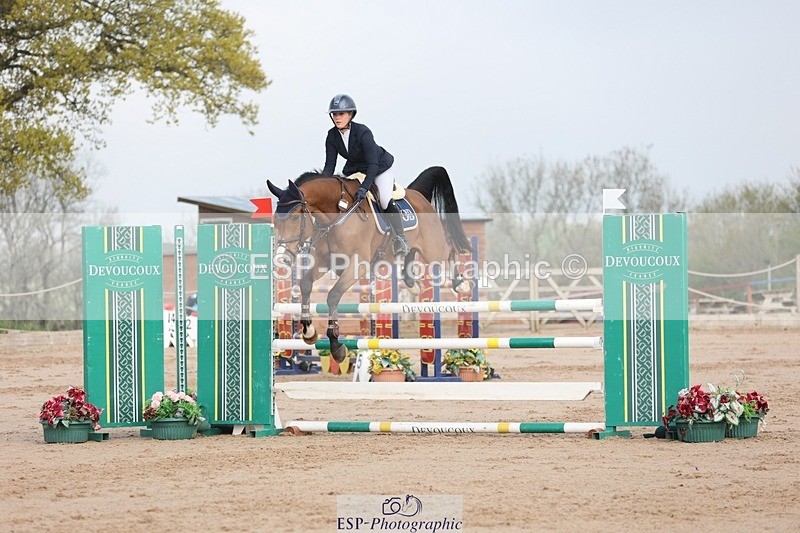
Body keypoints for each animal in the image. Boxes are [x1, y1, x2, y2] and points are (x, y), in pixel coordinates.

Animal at [267, 166, 473, 363]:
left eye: (295, 218)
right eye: (276, 220)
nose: (281, 259)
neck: (336, 215)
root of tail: (417, 194)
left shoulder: (357, 266)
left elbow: (333, 296)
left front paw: (337, 347)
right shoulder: (324, 261)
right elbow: (305, 285)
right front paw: (309, 333)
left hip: (433, 249)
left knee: (450, 251)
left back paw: (460, 284)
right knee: (410, 251)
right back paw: (412, 284)